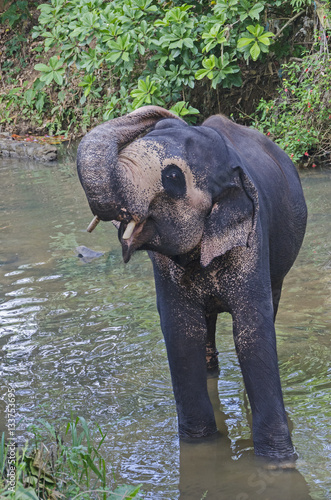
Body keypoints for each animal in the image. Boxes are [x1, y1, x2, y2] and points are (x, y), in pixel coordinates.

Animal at [78, 104, 308, 460]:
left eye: (172, 177)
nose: (165, 112)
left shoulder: (253, 241)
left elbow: (252, 332)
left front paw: (278, 461)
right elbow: (182, 331)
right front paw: (199, 443)